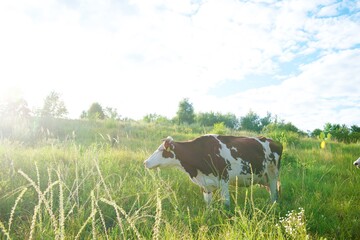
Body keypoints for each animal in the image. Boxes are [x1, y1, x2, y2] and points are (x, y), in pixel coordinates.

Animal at [144, 135, 284, 206]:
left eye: (162, 151)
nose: (145, 162)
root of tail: (273, 141)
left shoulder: (224, 180)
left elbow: (226, 204)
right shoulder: (205, 184)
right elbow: (208, 204)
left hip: (273, 174)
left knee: (274, 193)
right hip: (264, 178)